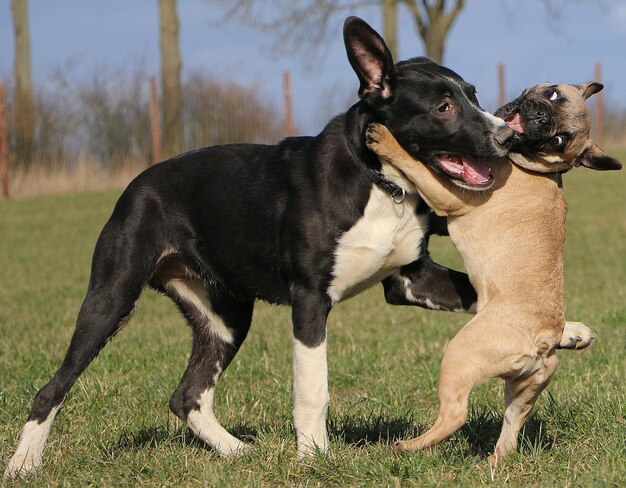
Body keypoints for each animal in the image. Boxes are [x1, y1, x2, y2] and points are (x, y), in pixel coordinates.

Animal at [4, 16, 512, 476]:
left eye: (473, 95)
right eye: (443, 107)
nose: (506, 135)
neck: (379, 182)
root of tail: (136, 185)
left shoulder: (411, 279)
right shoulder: (310, 301)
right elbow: (313, 389)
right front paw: (313, 459)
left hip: (224, 317)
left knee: (187, 396)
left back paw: (236, 452)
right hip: (111, 296)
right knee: (53, 388)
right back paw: (24, 465)